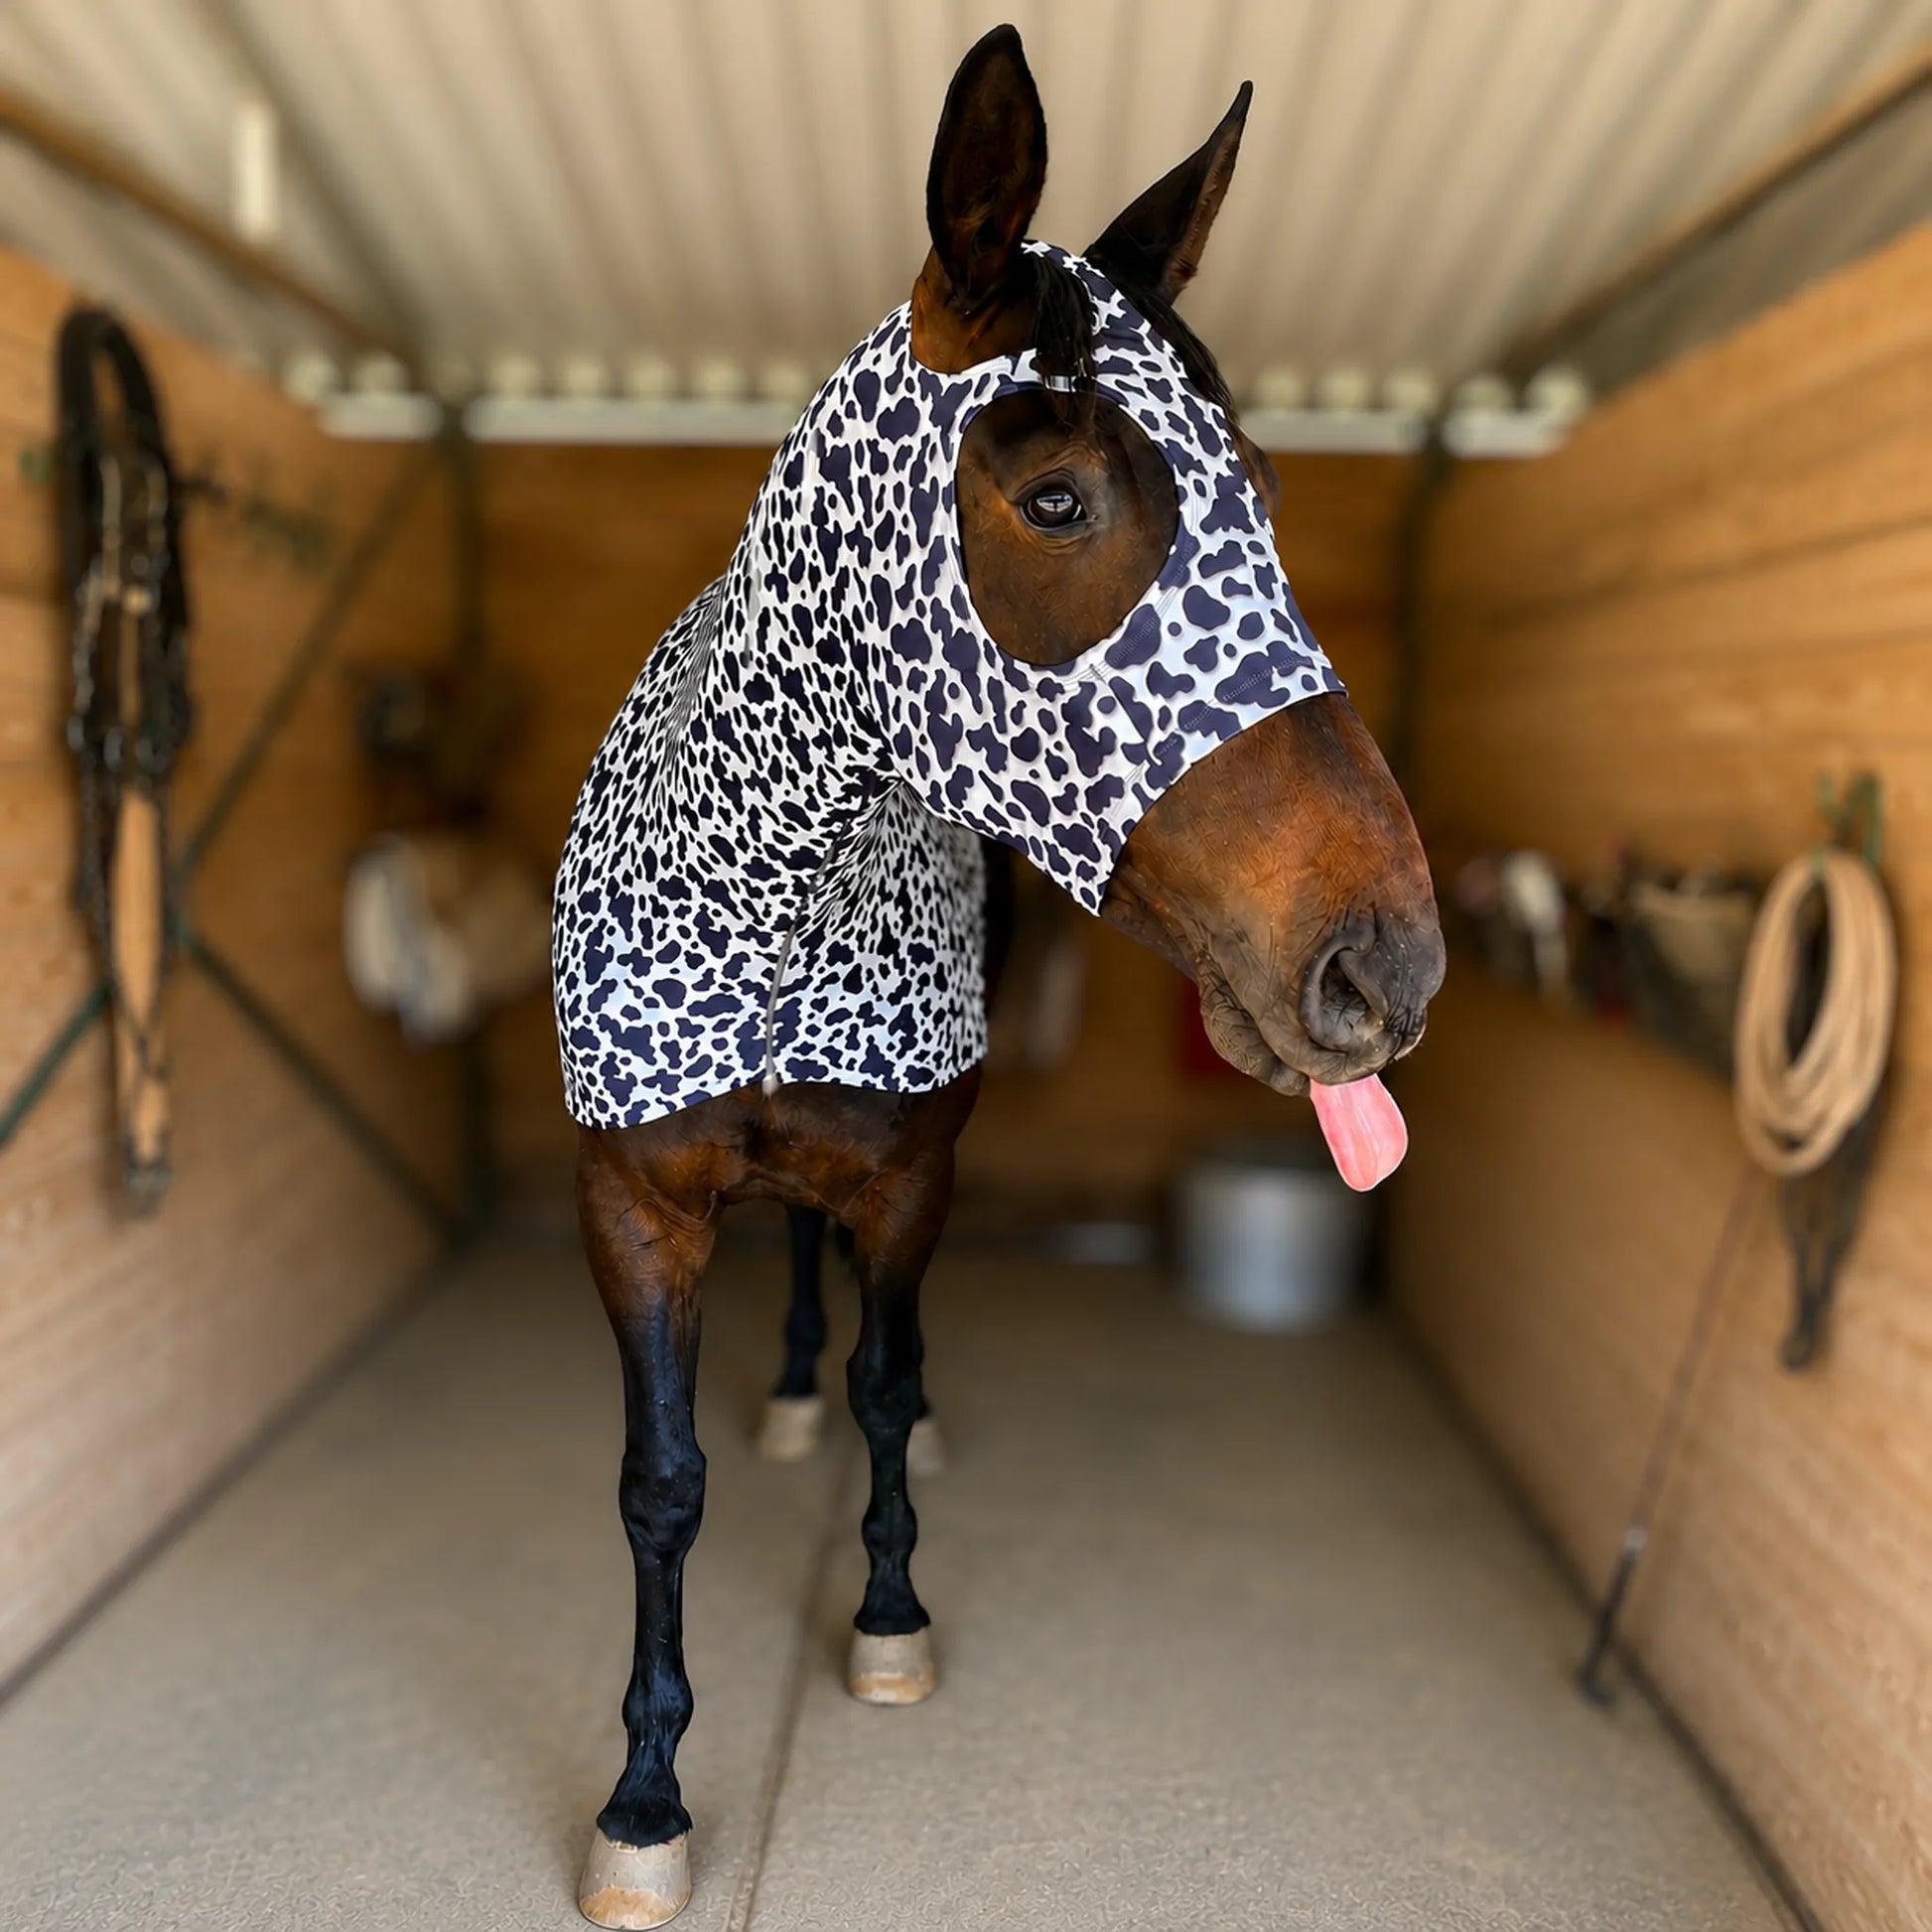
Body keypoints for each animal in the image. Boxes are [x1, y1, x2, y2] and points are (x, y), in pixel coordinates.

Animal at [553, 26, 1444, 1926]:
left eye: (1265, 494)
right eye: (1055, 496)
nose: (1387, 963)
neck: (775, 887)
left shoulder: (911, 1172)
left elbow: (891, 1376)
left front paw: (889, 1611)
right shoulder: (632, 1206)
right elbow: (659, 1488)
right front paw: (646, 1799)